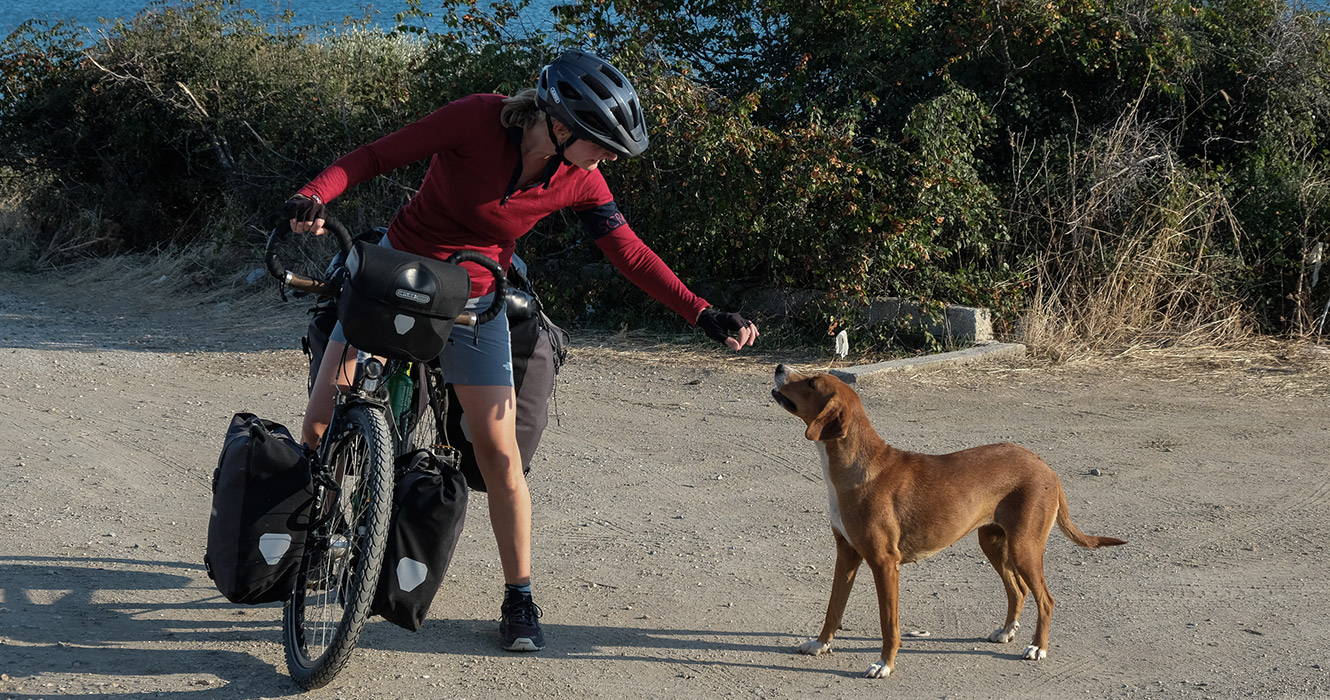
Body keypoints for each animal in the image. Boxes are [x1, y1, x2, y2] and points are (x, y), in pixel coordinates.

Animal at [776, 367, 1127, 681]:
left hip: (1024, 546)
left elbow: (889, 623)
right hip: (993, 542)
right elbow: (833, 607)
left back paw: (1038, 647)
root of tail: (1046, 467)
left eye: (812, 382)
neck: (857, 468)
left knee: (1046, 598)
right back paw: (1006, 631)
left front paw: (885, 664)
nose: (779, 367)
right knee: (1019, 589)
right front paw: (820, 644)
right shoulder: (847, 554)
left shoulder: (885, 563)